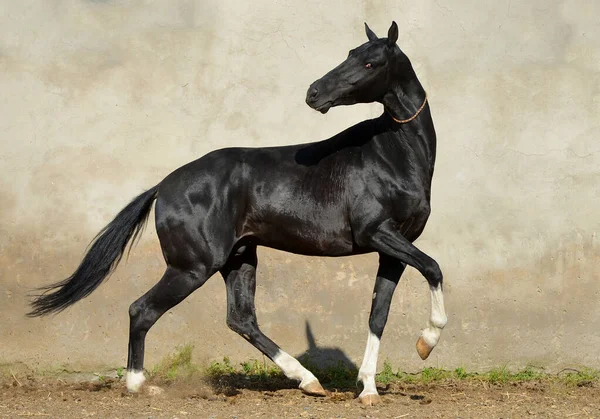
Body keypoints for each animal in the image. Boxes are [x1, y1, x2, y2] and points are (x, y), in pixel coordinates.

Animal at [31, 23, 446, 406]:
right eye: (351, 54)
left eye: (369, 61)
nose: (313, 93)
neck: (390, 155)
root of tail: (163, 185)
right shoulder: (376, 232)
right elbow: (433, 269)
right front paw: (426, 343)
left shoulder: (393, 247)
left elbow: (379, 314)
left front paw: (369, 389)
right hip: (193, 267)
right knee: (142, 310)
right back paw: (139, 385)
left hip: (240, 258)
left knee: (241, 319)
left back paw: (308, 380)